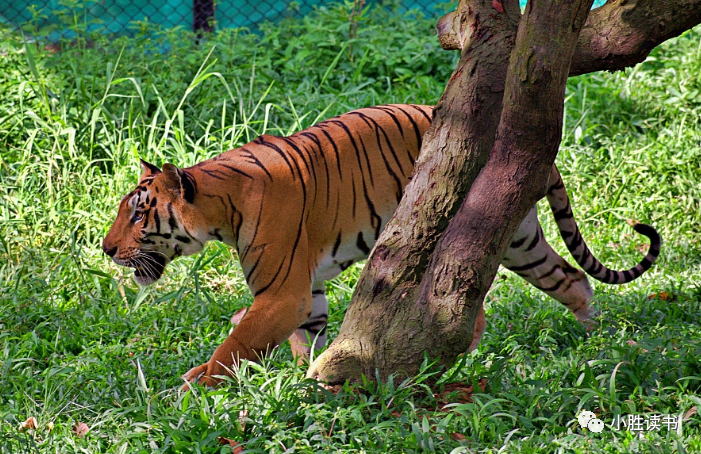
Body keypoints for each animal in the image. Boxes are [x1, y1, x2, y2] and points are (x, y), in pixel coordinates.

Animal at [101, 103, 660, 386]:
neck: (222, 206)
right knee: (571, 277)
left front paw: (197, 380)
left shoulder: (282, 293)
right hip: (521, 238)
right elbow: (308, 339)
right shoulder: (306, 293)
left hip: (462, 227)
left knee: (467, 300)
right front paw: (311, 376)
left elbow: (236, 344)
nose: (106, 250)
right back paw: (598, 341)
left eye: (138, 212)